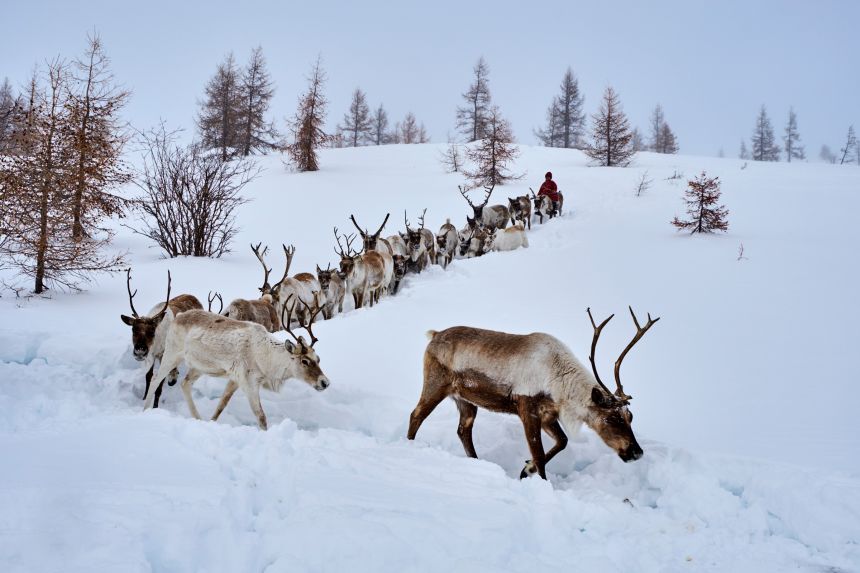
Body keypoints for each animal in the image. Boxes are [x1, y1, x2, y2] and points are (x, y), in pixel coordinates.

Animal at [120, 269, 202, 409]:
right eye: (133, 329)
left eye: (152, 331)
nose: (140, 351)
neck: (156, 345)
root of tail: (195, 298)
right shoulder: (151, 356)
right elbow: (148, 377)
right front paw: (144, 398)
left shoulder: (164, 355)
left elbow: (159, 384)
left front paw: (155, 406)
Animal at [145, 295, 330, 430]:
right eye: (304, 361)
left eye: (318, 359)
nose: (325, 382)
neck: (267, 360)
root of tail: (179, 316)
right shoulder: (249, 382)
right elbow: (261, 416)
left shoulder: (234, 379)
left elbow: (221, 404)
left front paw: (211, 421)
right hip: (171, 353)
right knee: (155, 379)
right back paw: (145, 410)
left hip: (199, 366)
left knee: (185, 383)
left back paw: (198, 418)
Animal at [407, 307, 659, 479]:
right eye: (612, 418)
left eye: (630, 416)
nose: (636, 452)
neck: (559, 382)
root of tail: (434, 335)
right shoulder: (527, 408)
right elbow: (539, 454)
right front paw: (538, 478)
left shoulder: (548, 414)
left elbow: (563, 441)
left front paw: (526, 469)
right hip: (436, 384)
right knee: (416, 414)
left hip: (465, 399)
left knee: (463, 430)